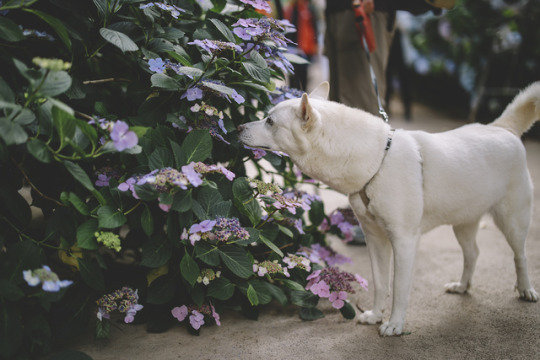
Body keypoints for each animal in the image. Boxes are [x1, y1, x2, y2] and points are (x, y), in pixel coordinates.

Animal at [240, 81, 540, 334]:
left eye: (270, 121)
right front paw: (375, 315)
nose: (238, 128)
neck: (377, 162)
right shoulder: (375, 238)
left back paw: (526, 289)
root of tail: (501, 128)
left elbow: (399, 287)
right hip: (463, 222)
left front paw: (395, 324)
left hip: (513, 221)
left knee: (520, 256)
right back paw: (463, 286)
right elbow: (381, 283)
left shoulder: (404, 241)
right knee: (473, 253)